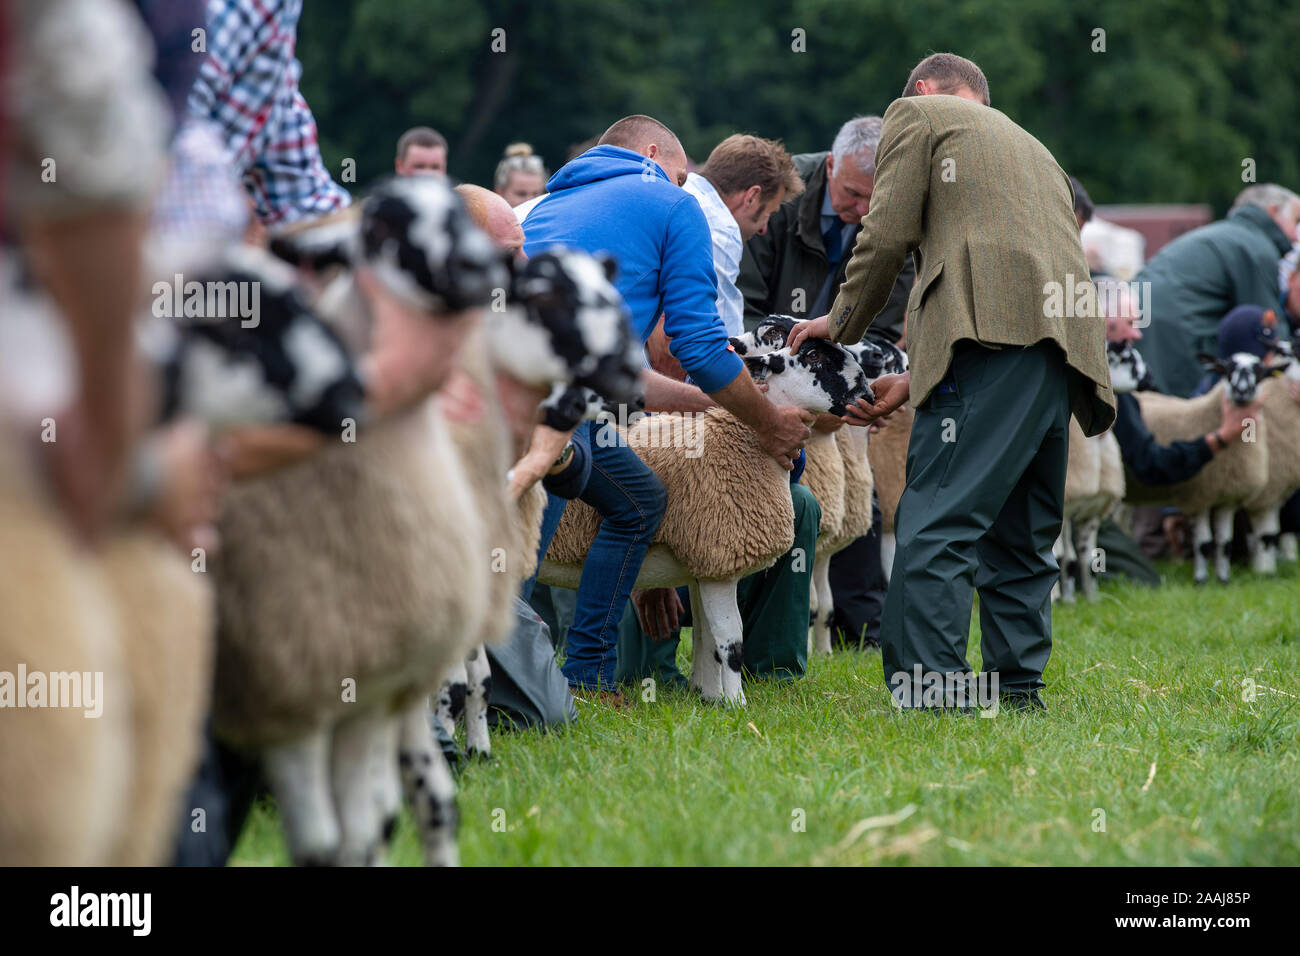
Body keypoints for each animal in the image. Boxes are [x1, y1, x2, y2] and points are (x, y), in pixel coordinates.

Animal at [1128, 353, 1279, 582]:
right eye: (1227, 369)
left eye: (1260, 371)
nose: (1242, 391)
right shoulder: (1199, 496)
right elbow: (1203, 544)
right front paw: (1200, 579)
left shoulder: (1228, 499)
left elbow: (1224, 544)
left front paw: (1224, 579)